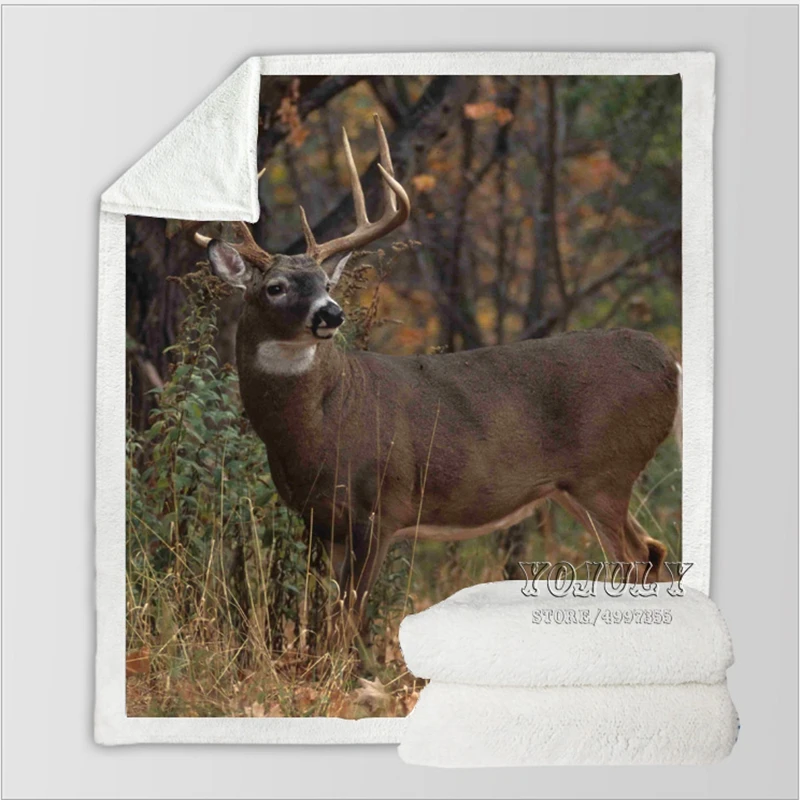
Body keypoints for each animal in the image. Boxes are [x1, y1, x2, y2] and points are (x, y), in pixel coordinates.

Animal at [191, 114, 681, 625]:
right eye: (276, 287)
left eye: (326, 282)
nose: (332, 314)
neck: (320, 428)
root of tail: (669, 360)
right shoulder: (316, 520)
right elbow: (322, 617)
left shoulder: (380, 509)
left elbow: (346, 621)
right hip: (577, 486)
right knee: (652, 553)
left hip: (607, 473)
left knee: (637, 557)